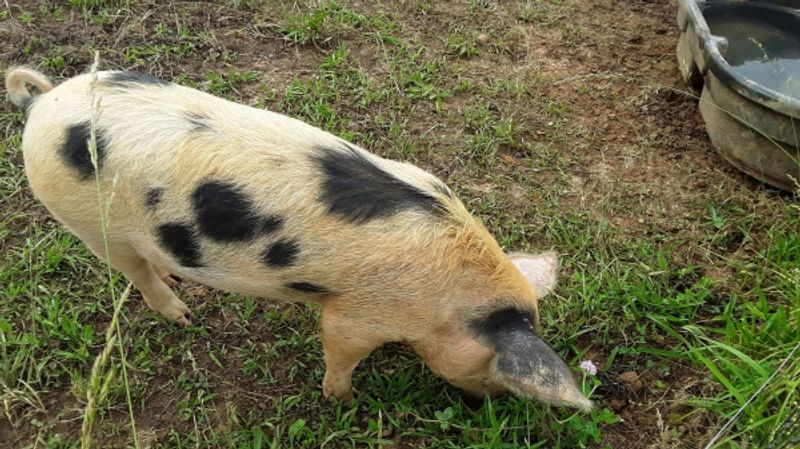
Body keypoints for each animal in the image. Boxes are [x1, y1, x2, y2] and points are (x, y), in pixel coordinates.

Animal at [5, 67, 592, 411]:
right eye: (489, 369)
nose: (485, 404)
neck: (453, 300)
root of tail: (43, 103)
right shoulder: (357, 316)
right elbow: (338, 348)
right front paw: (344, 400)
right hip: (85, 221)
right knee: (133, 271)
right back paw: (182, 313)